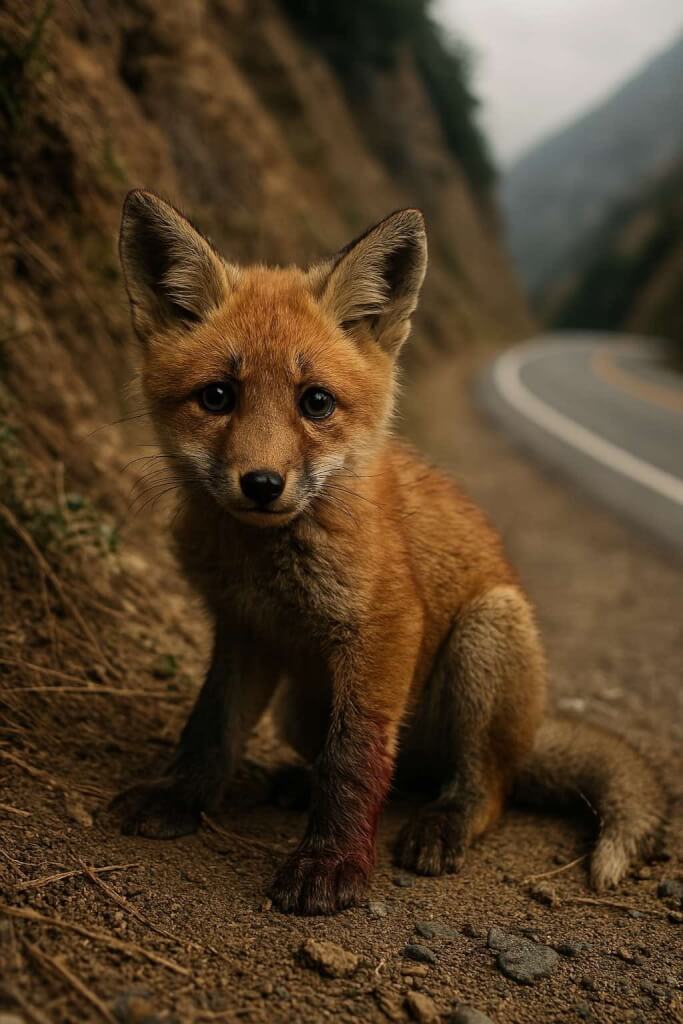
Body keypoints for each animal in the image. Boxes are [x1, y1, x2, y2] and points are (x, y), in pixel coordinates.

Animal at [113, 189, 666, 915]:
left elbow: (354, 761)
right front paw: (180, 798)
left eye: (316, 402)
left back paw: (445, 819)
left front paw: (332, 862)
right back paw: (300, 784)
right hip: (300, 708)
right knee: (393, 775)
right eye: (218, 397)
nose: (261, 484)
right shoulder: (245, 630)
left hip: (487, 631)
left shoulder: (385, 629)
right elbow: (211, 729)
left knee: (481, 786)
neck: (266, 566)